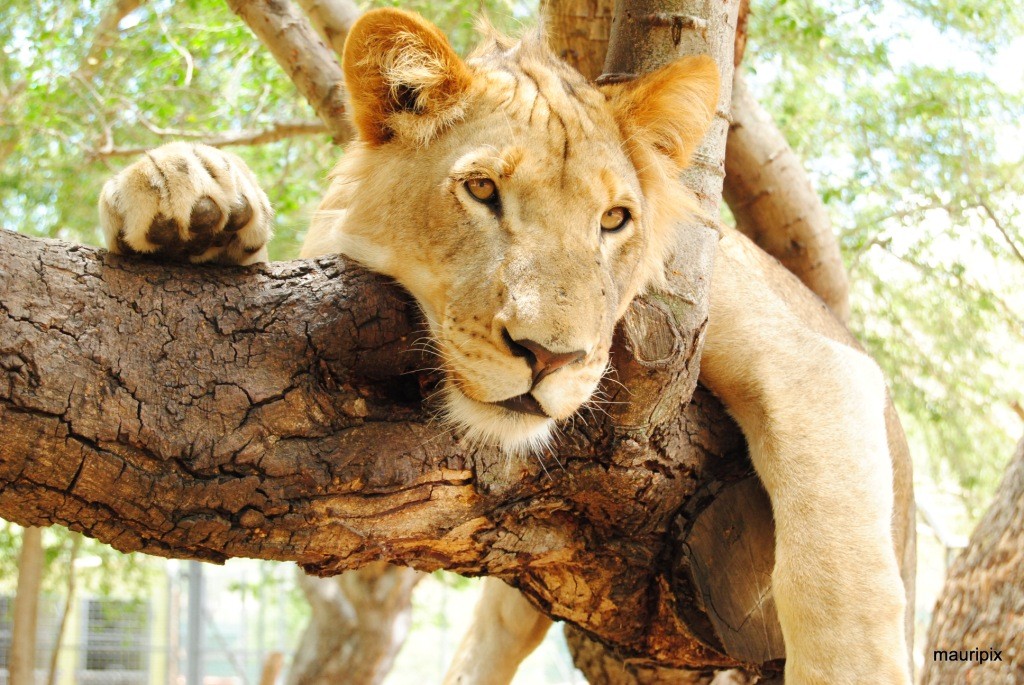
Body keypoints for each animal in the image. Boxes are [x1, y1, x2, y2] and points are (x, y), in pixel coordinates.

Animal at [96, 6, 913, 683]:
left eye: (614, 219)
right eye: (483, 190)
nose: (550, 357)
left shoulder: (809, 360)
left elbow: (838, 584)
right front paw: (186, 195)